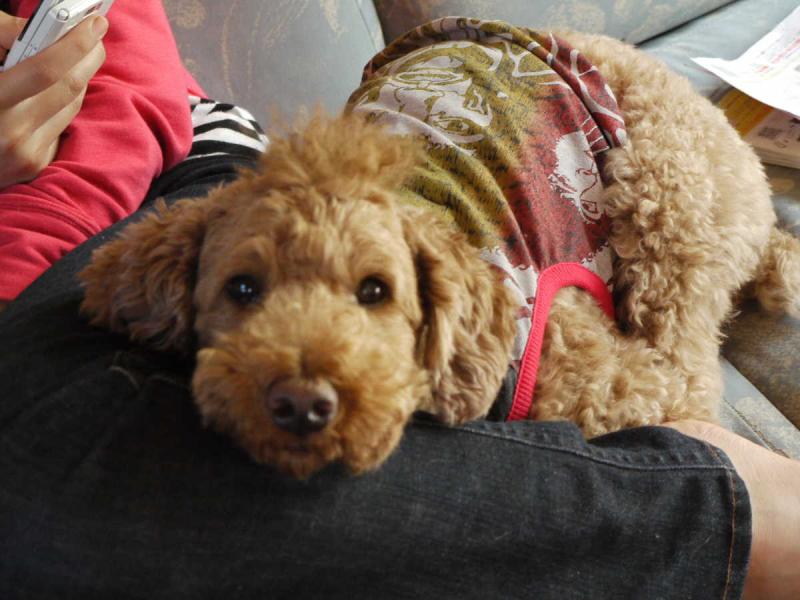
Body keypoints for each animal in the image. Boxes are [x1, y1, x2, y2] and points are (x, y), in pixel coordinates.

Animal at [80, 21, 800, 478]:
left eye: (375, 291)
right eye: (242, 290)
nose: (301, 406)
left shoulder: (609, 381)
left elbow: (670, 396)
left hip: (670, 202)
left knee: (690, 354)